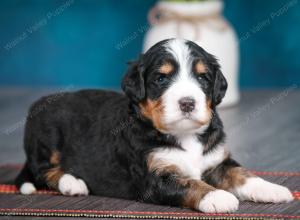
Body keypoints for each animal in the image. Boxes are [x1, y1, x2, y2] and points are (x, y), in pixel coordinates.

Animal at [15, 38, 292, 213]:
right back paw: (72, 183)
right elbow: (190, 184)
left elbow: (242, 174)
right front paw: (217, 196)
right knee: (43, 171)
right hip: (47, 138)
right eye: (161, 79)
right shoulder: (154, 177)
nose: (187, 103)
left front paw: (272, 189)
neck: (184, 134)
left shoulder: (217, 161)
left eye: (203, 78)